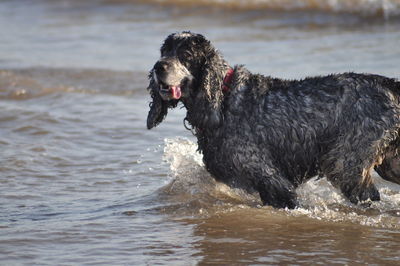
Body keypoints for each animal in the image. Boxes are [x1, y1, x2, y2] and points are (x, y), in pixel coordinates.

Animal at [147, 31, 400, 209]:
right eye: (163, 52)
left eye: (186, 56)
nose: (158, 66)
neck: (224, 99)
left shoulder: (272, 180)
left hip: (344, 164)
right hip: (389, 163)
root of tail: (389, 84)